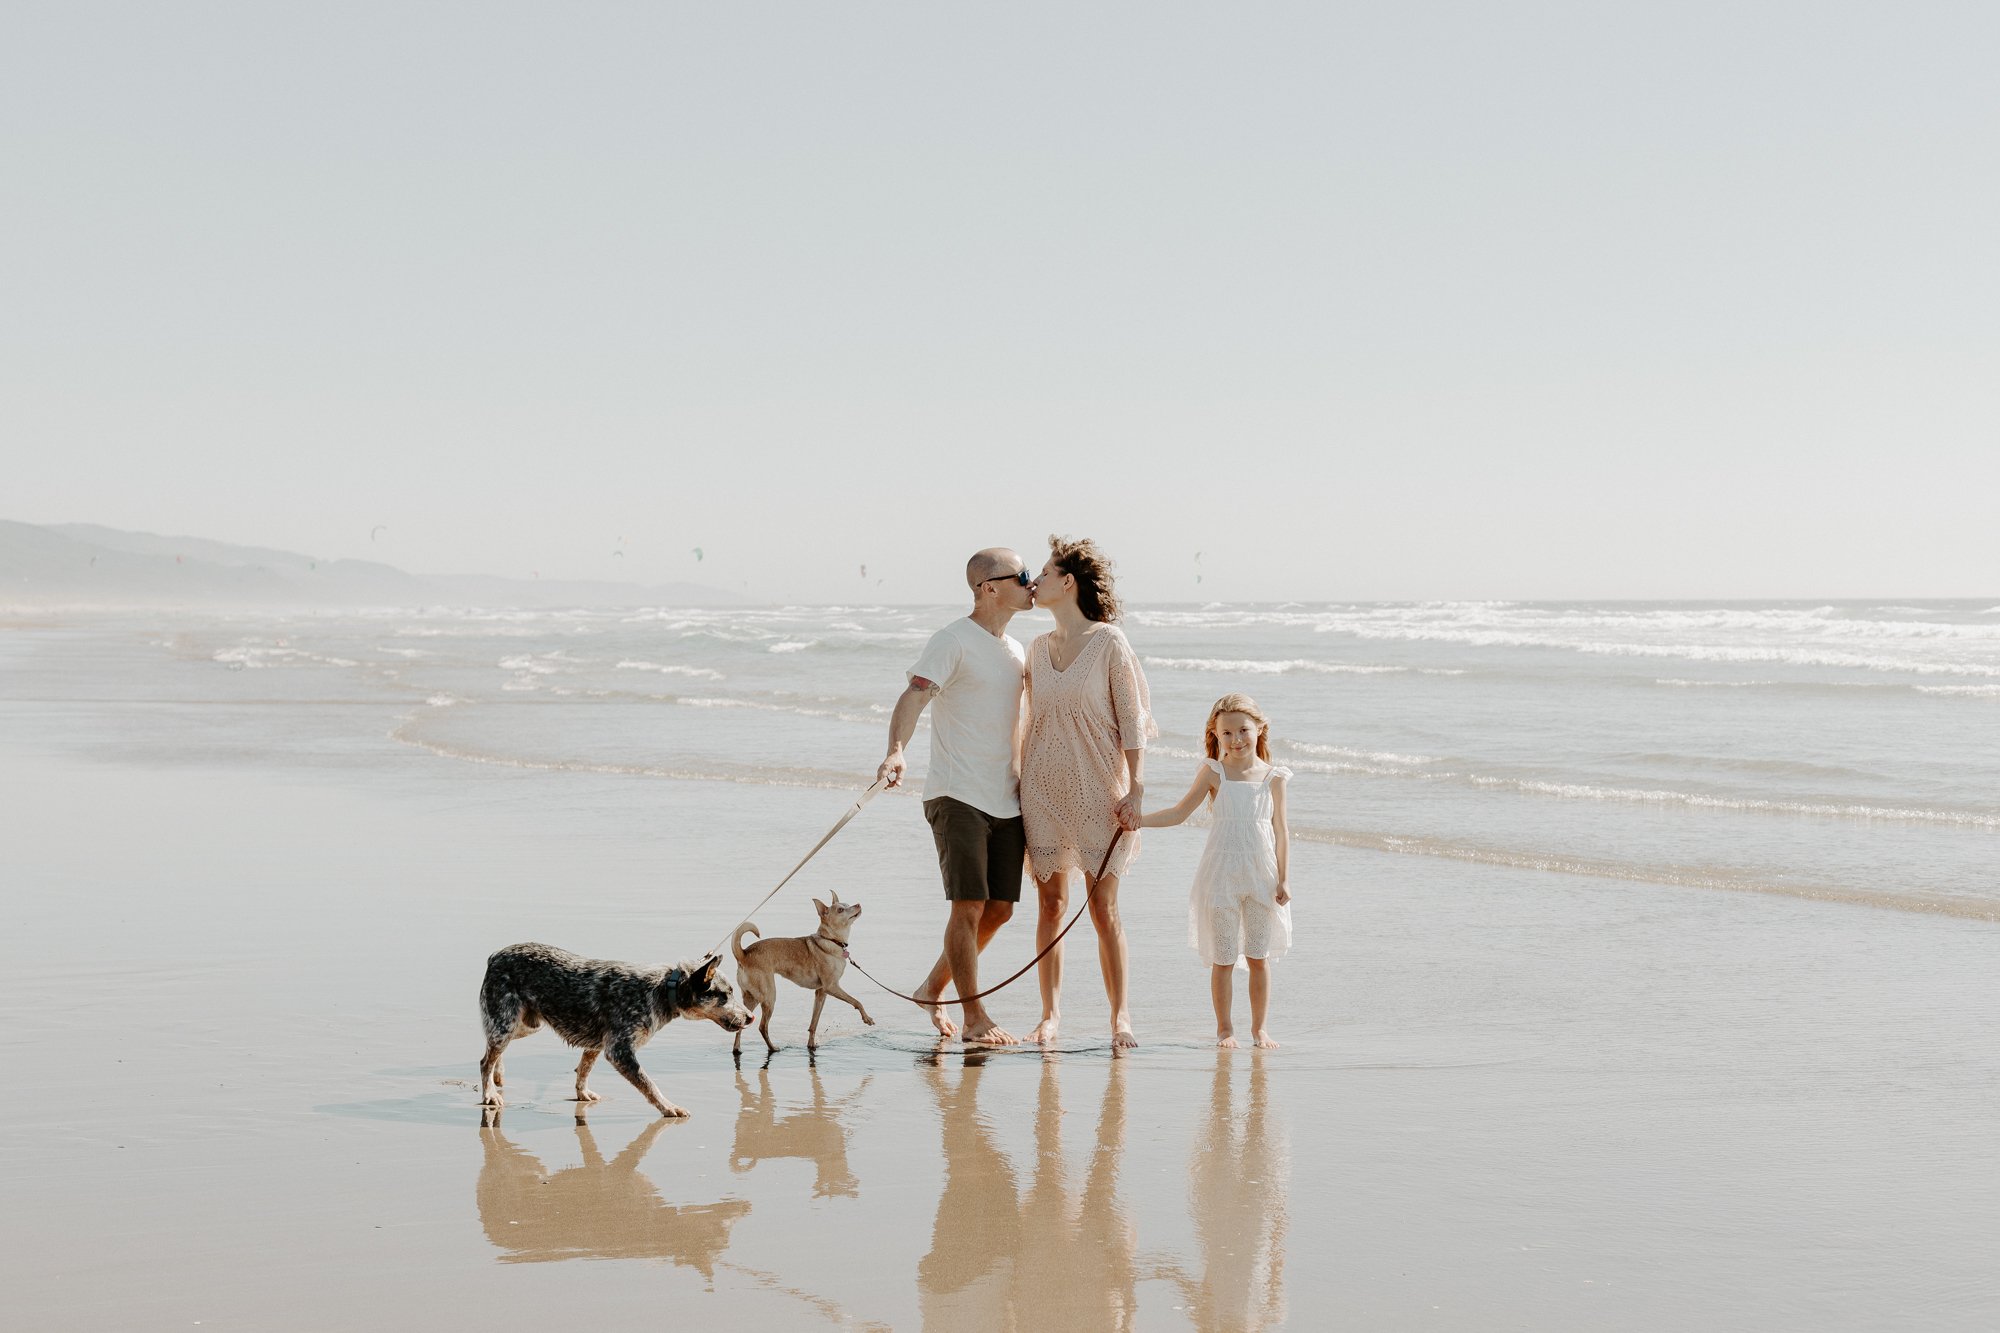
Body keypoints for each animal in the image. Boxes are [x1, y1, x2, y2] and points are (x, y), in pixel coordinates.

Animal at [476, 940, 752, 1112]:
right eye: (725, 995)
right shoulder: (619, 1050)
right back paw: (489, 1092)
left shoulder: (597, 1044)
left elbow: (584, 1070)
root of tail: (494, 956)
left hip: (524, 1025)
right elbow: (650, 1085)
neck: (664, 990)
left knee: (492, 1049)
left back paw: (498, 1073)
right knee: (485, 1060)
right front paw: (668, 1107)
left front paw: (583, 1094)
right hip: (506, 1022)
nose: (750, 1017)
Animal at [728, 892, 868, 1048]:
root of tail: (743, 954)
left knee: (741, 1026)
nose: (858, 904)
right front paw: (867, 1018)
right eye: (840, 910)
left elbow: (814, 1023)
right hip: (769, 997)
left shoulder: (821, 993)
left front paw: (811, 1044)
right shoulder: (831, 987)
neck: (831, 940)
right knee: (763, 1027)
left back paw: (737, 1048)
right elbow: (857, 1001)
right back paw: (774, 1048)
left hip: (751, 998)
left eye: (847, 904)